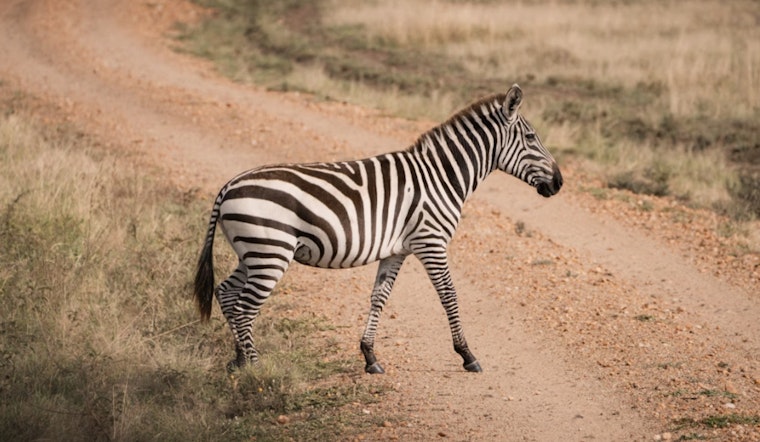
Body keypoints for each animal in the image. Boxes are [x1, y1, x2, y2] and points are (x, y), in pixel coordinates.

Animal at [194, 84, 563, 374]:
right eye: (532, 138)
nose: (559, 182)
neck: (441, 177)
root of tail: (228, 186)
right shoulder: (431, 242)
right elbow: (449, 295)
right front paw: (467, 354)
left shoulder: (397, 250)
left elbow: (379, 297)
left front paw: (370, 357)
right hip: (270, 253)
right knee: (245, 306)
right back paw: (257, 372)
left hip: (253, 252)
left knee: (227, 293)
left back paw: (239, 362)